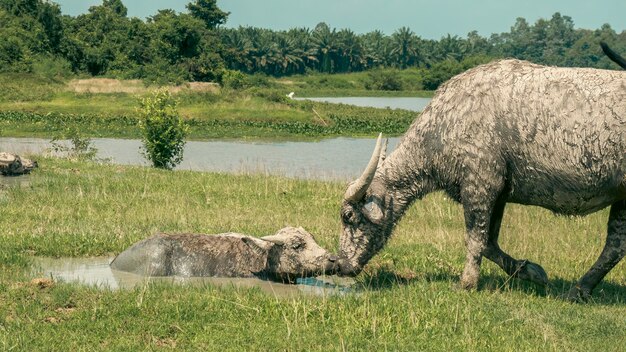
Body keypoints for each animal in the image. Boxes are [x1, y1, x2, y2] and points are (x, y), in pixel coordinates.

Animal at [336, 59, 624, 302]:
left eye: (348, 217)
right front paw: (529, 270)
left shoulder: (479, 187)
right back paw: (581, 289)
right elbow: (489, 244)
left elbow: (475, 239)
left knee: (614, 246)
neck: (446, 123)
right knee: (615, 246)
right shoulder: (498, 194)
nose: (339, 264)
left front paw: (467, 282)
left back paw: (578, 289)